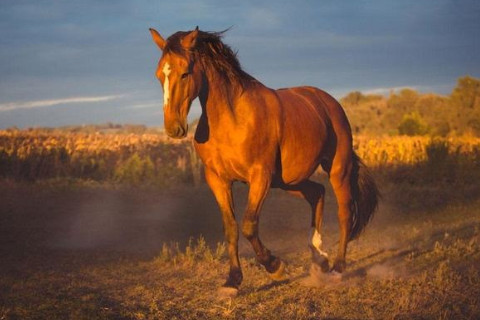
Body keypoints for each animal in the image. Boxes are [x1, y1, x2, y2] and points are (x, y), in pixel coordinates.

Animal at [150, 27, 378, 298]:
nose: (173, 128)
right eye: (159, 74)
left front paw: (275, 266)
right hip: (288, 181)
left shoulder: (260, 176)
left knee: (345, 212)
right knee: (317, 193)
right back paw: (319, 257)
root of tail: (329, 103)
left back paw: (337, 268)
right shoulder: (218, 179)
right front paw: (232, 281)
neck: (232, 118)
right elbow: (231, 228)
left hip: (337, 169)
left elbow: (249, 225)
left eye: (185, 73)